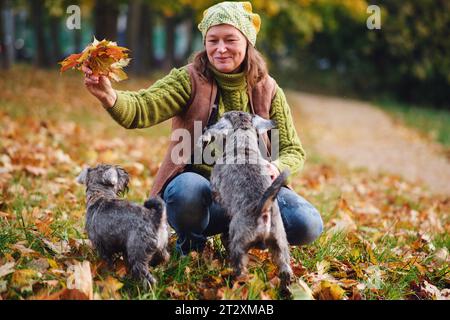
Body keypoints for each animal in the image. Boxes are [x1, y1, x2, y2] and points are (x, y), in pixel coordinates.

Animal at [199, 111, 294, 292]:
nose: (208, 126)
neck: (244, 144)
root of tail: (263, 213)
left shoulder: (215, 185)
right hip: (280, 244)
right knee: (286, 269)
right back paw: (286, 289)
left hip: (239, 243)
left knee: (240, 269)